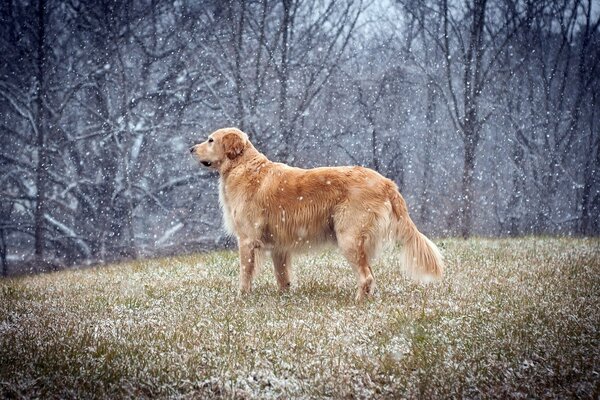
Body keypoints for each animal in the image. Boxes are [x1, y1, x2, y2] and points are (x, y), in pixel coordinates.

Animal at [190, 127, 442, 300]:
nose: (191, 149)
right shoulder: (279, 246)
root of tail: (386, 182)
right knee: (370, 275)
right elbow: (282, 277)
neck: (242, 166)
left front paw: (241, 297)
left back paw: (357, 302)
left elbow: (245, 273)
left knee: (366, 276)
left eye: (210, 140)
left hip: (348, 238)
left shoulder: (247, 240)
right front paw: (284, 298)